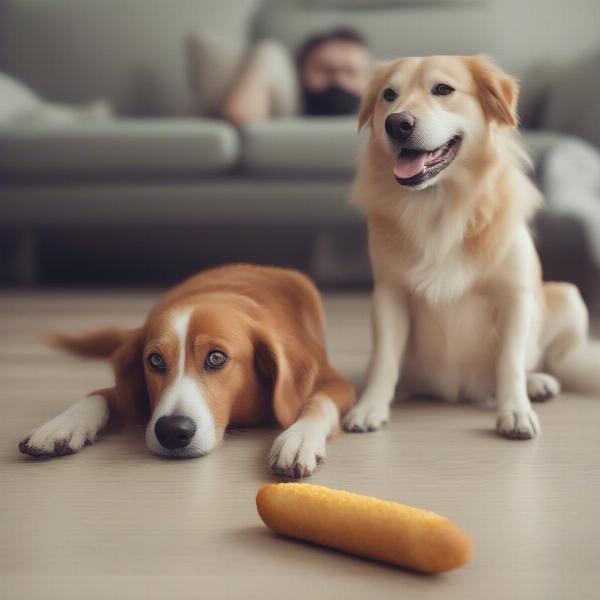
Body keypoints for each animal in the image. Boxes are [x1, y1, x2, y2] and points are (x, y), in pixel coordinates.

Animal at [17, 264, 356, 476]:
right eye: (155, 360)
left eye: (217, 358)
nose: (171, 431)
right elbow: (100, 394)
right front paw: (61, 425)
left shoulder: (335, 380)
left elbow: (317, 403)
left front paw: (298, 439)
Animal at [342, 56, 600, 438]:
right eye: (388, 95)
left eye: (443, 89)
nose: (397, 124)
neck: (440, 207)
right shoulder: (389, 293)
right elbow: (385, 360)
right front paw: (370, 406)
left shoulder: (514, 296)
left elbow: (509, 362)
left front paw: (515, 412)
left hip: (568, 296)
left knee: (541, 360)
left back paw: (537, 383)